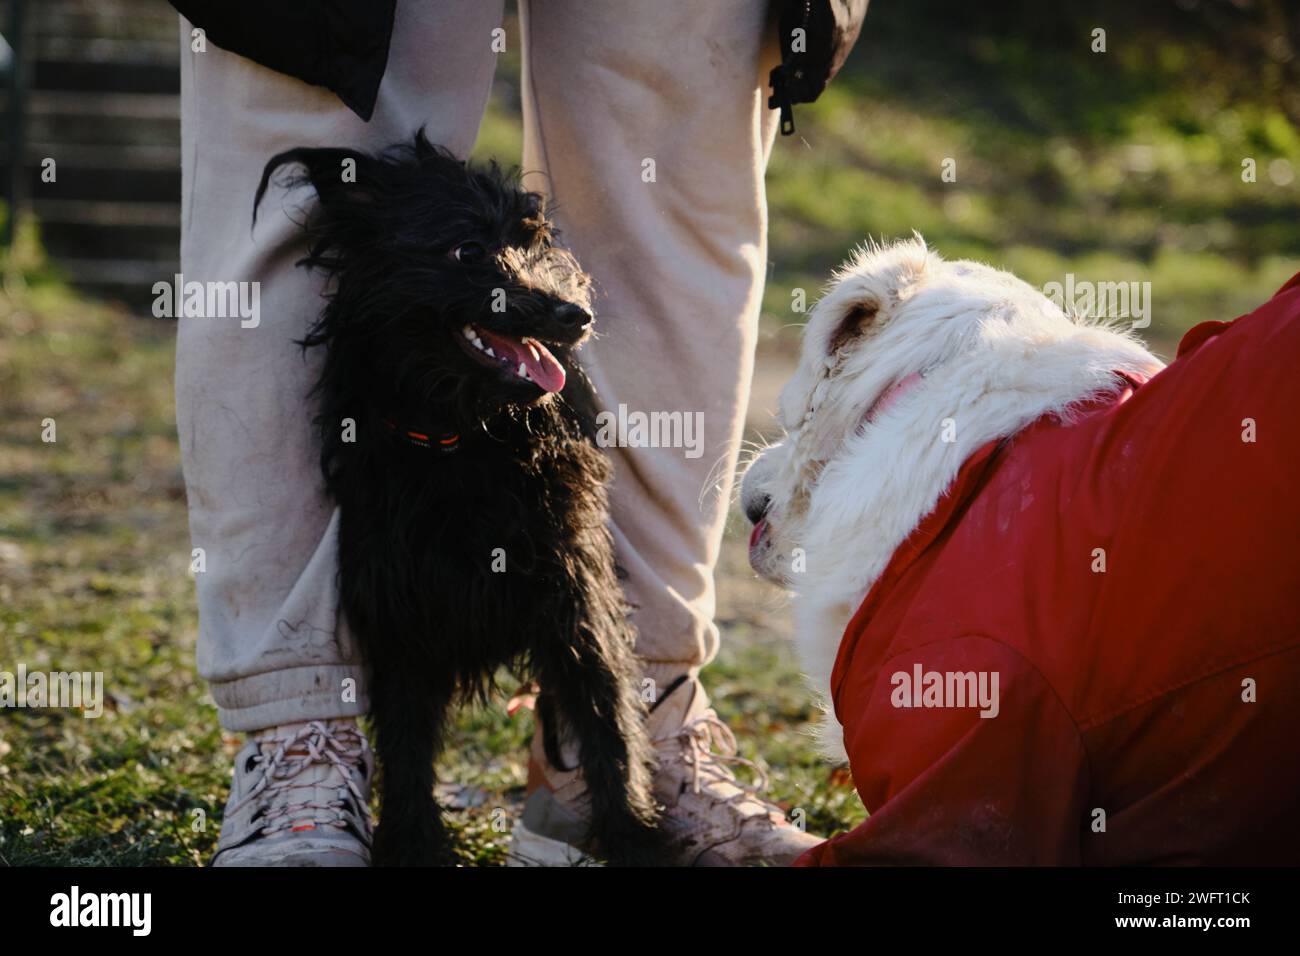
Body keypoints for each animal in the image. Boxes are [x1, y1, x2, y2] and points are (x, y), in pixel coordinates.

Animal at [253, 132, 660, 868]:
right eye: (467, 250)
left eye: (534, 241)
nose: (576, 314)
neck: (462, 442)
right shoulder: (399, 615)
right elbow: (407, 743)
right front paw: (413, 841)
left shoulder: (576, 598)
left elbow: (608, 722)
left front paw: (634, 839)